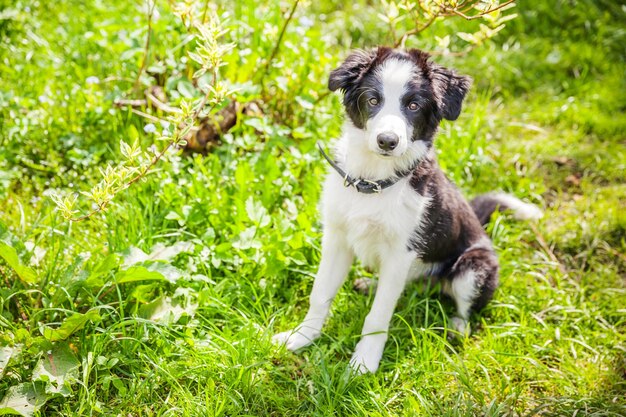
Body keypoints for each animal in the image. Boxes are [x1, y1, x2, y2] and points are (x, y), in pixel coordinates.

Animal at [270, 47, 540, 372]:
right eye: (373, 100)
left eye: (413, 105)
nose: (388, 141)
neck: (373, 182)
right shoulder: (337, 238)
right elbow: (320, 293)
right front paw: (301, 337)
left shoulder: (401, 252)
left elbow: (378, 315)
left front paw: (364, 362)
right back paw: (371, 284)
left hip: (474, 267)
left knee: (464, 307)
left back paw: (456, 326)